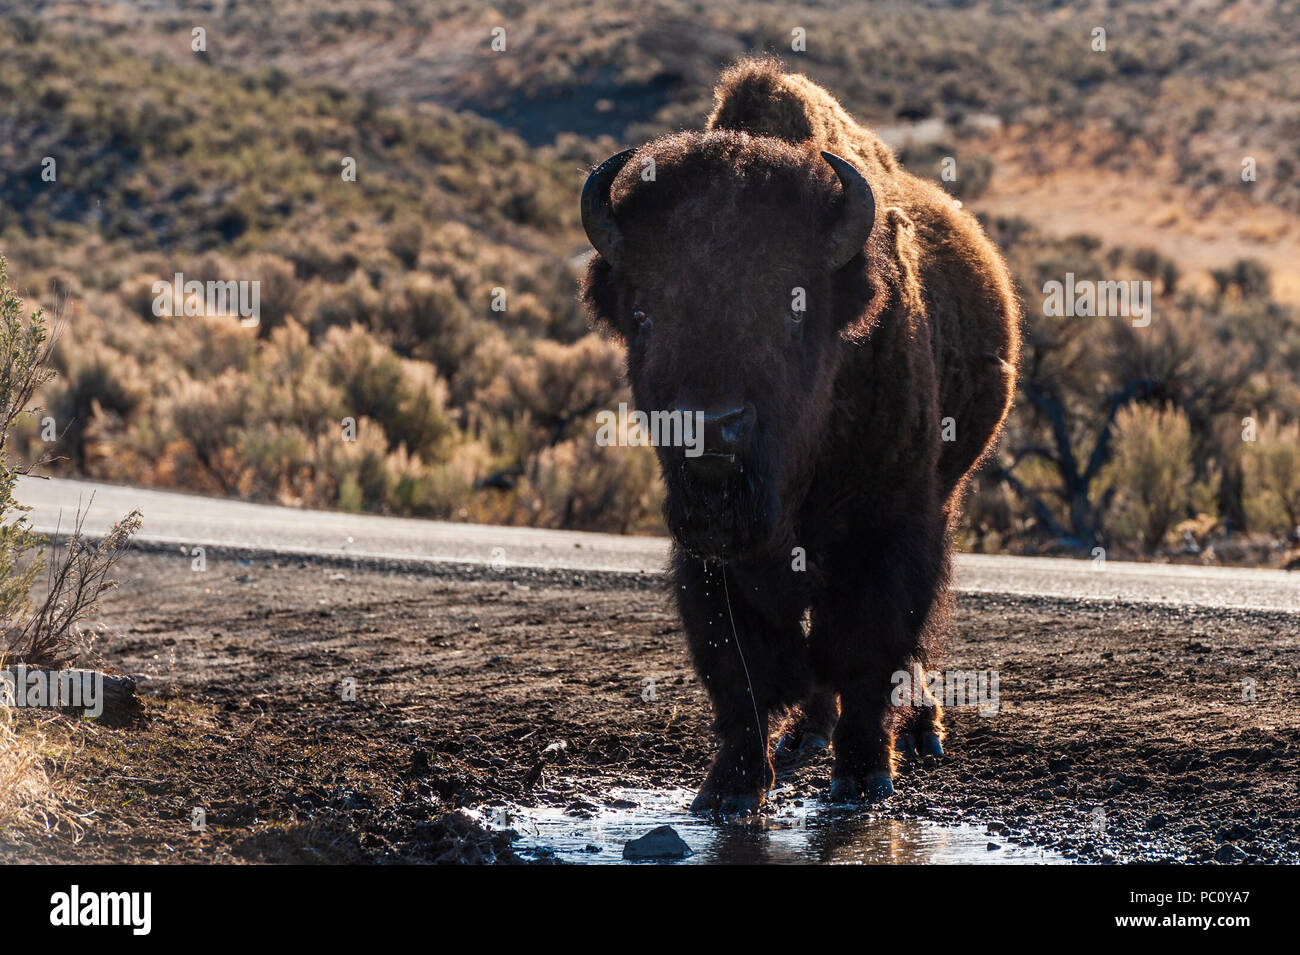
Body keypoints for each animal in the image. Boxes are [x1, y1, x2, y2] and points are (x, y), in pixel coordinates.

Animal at [585, 57, 1019, 815]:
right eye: (642, 311)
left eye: (792, 305)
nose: (711, 433)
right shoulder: (707, 555)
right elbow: (741, 667)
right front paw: (727, 789)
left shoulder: (888, 529)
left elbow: (866, 651)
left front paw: (864, 775)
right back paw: (805, 736)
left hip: (943, 497)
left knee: (904, 637)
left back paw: (921, 730)